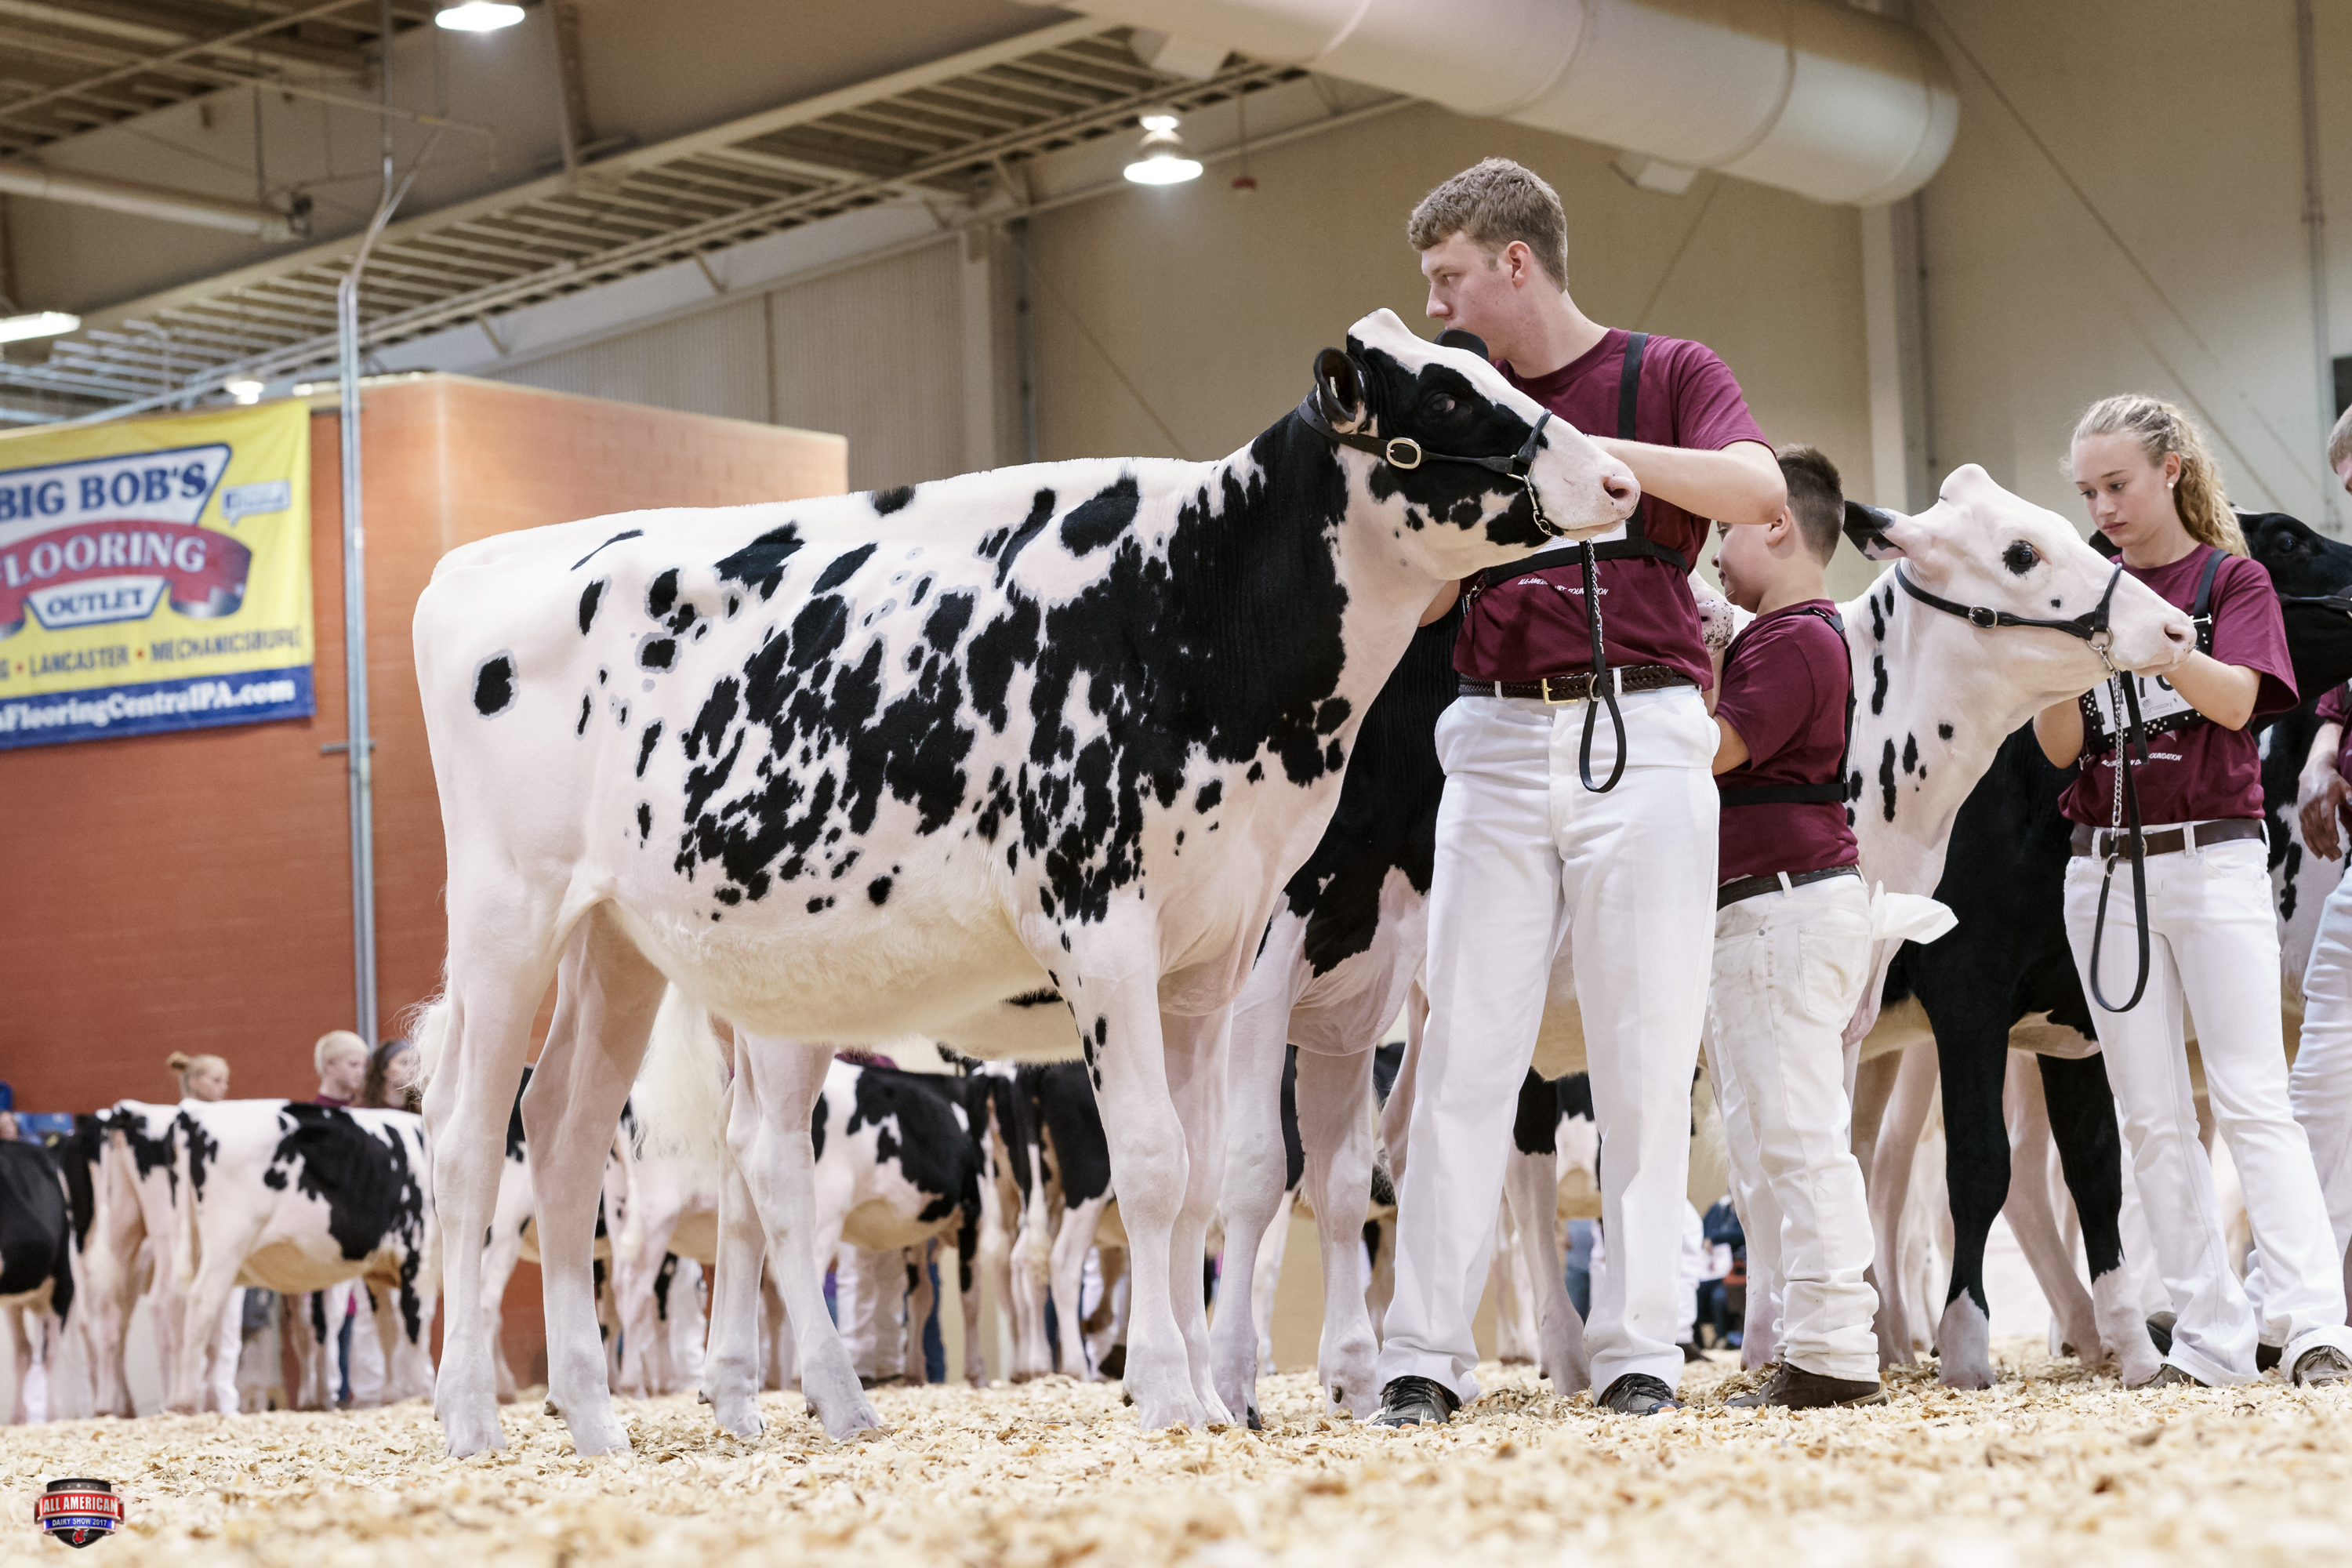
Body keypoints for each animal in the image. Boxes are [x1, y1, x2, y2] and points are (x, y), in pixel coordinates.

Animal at [411, 306, 1641, 1455]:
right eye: (1442, 401)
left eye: (1481, 371)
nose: (1621, 477)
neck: (1192, 607)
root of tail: (478, 563)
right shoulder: (1105, 928)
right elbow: (1158, 1164)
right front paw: (1180, 1398)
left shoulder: (1216, 952)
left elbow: (1199, 1177)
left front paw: (1195, 1394)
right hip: (509, 918)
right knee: (480, 1138)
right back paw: (475, 1417)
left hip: (626, 941)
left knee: (577, 1135)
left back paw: (612, 1417)